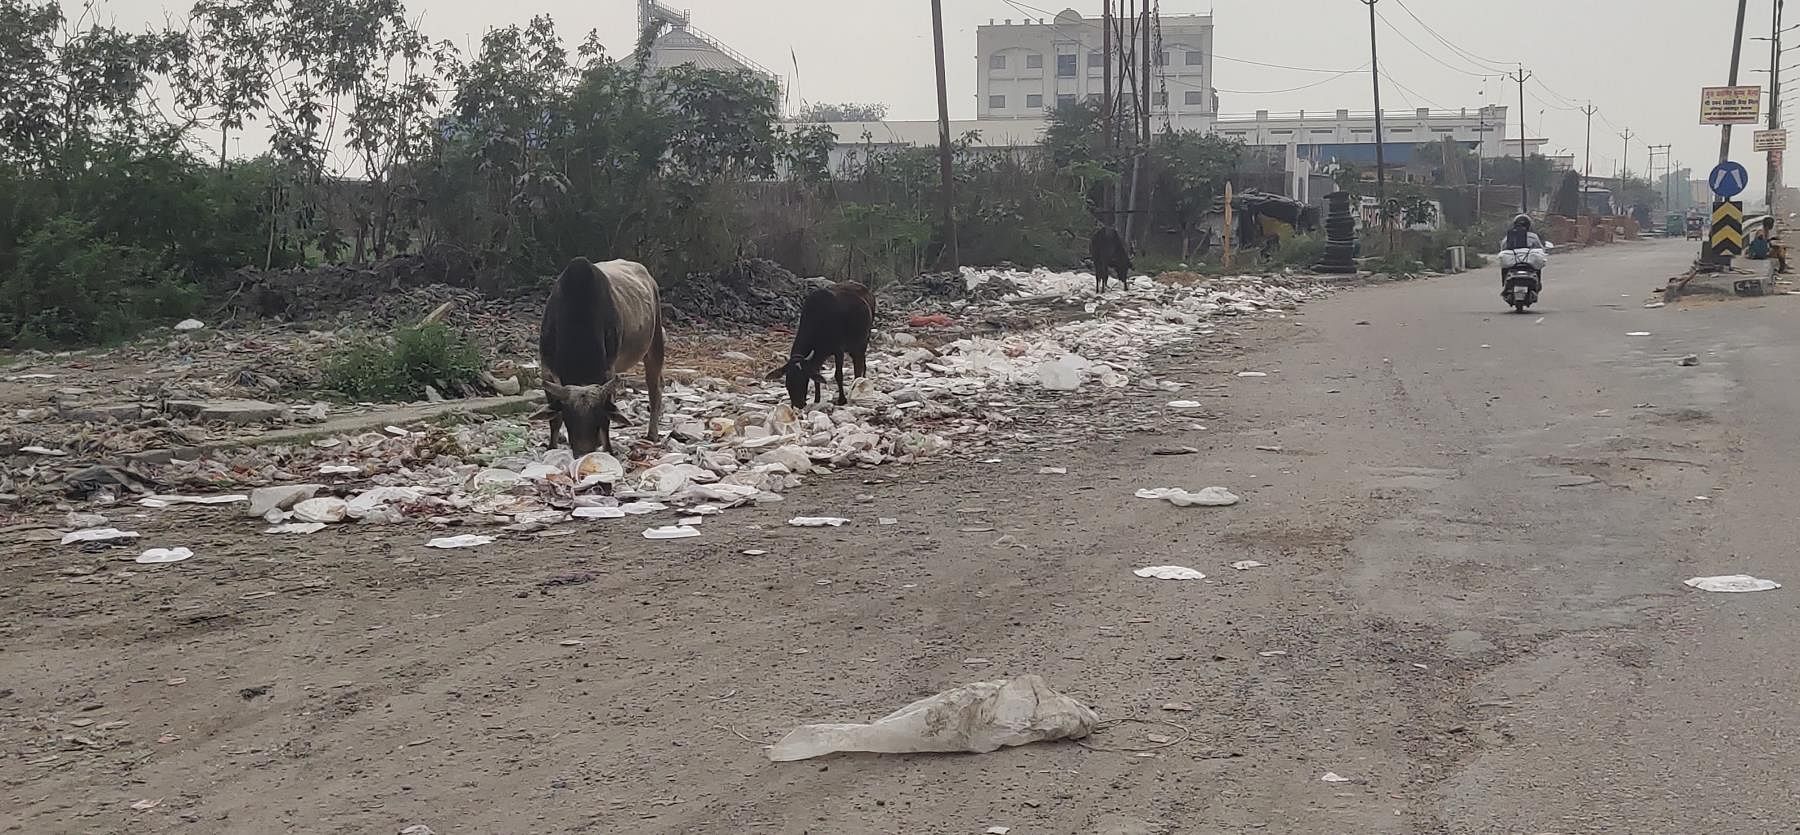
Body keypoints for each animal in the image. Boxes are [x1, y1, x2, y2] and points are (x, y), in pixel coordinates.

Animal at [540, 259, 669, 460]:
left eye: (598, 415)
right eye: (569, 416)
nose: (583, 452)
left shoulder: (608, 371)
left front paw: (608, 449)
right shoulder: (546, 368)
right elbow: (554, 419)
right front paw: (551, 446)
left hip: (654, 345)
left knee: (655, 388)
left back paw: (652, 434)